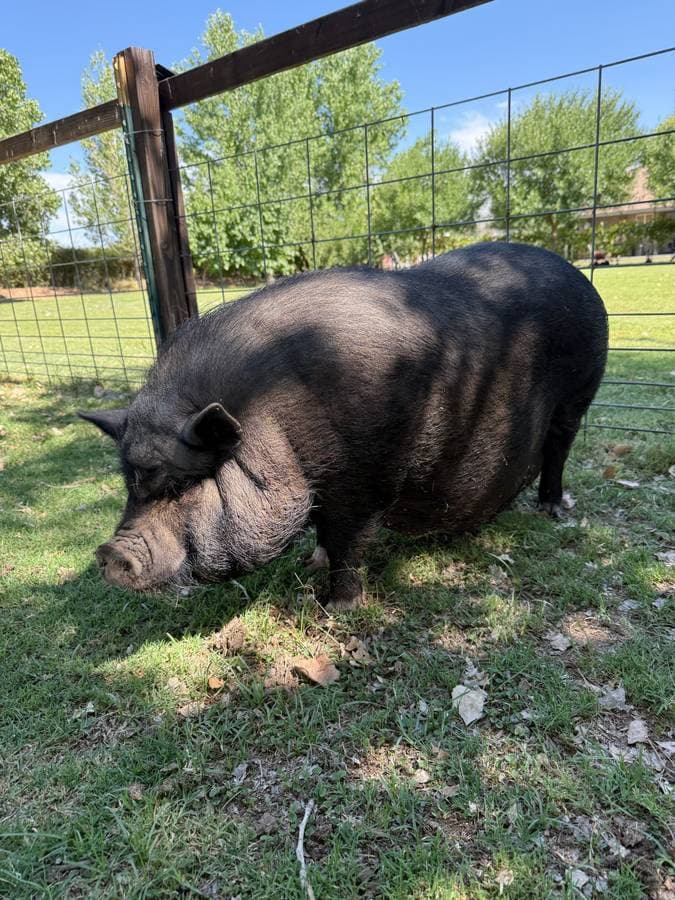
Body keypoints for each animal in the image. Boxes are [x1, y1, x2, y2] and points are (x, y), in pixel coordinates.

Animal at [80, 242, 608, 609]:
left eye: (184, 485)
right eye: (131, 484)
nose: (108, 553)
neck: (273, 418)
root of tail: (577, 274)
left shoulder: (366, 478)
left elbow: (346, 541)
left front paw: (338, 606)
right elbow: (322, 531)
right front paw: (309, 561)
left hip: (580, 392)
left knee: (558, 450)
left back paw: (551, 510)